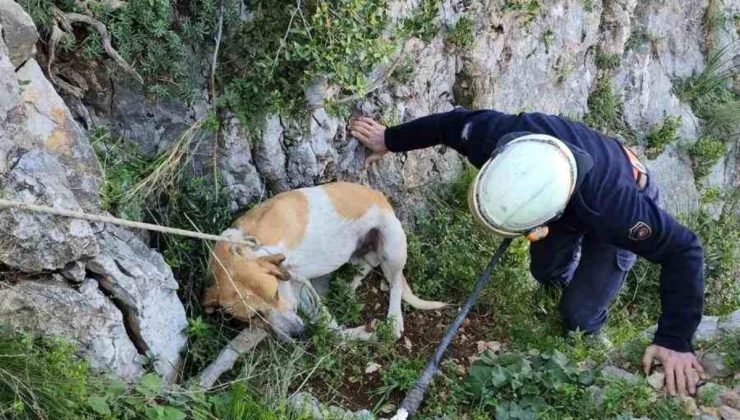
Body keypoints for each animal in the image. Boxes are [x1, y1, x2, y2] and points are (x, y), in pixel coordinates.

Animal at [201, 182, 446, 340]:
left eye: (276, 293)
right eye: (255, 316)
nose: (299, 334)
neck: (242, 246)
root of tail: (381, 196)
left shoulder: (298, 282)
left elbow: (326, 320)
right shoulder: (297, 286)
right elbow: (329, 326)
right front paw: (358, 334)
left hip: (392, 246)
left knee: (395, 285)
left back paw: (394, 320)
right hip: (359, 254)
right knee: (369, 263)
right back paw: (348, 289)